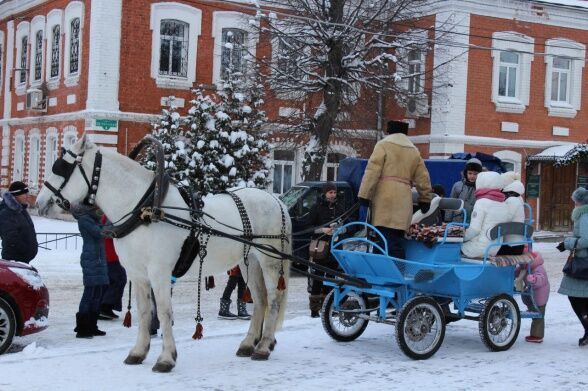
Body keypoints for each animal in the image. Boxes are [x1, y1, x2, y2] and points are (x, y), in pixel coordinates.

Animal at [35, 136, 292, 372]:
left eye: (61, 168)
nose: (40, 203)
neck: (144, 210)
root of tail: (275, 200)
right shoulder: (138, 274)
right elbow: (144, 312)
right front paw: (138, 352)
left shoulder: (159, 273)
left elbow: (164, 312)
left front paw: (166, 358)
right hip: (250, 262)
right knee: (260, 300)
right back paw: (249, 344)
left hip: (270, 260)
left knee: (274, 298)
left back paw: (263, 346)